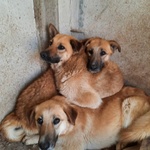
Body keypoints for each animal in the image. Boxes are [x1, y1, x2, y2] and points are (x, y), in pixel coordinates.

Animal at [19, 86, 150, 150]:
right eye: (39, 120)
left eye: (56, 120)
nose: (43, 146)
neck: (70, 126)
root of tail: (147, 96)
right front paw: (32, 138)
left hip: (129, 103)